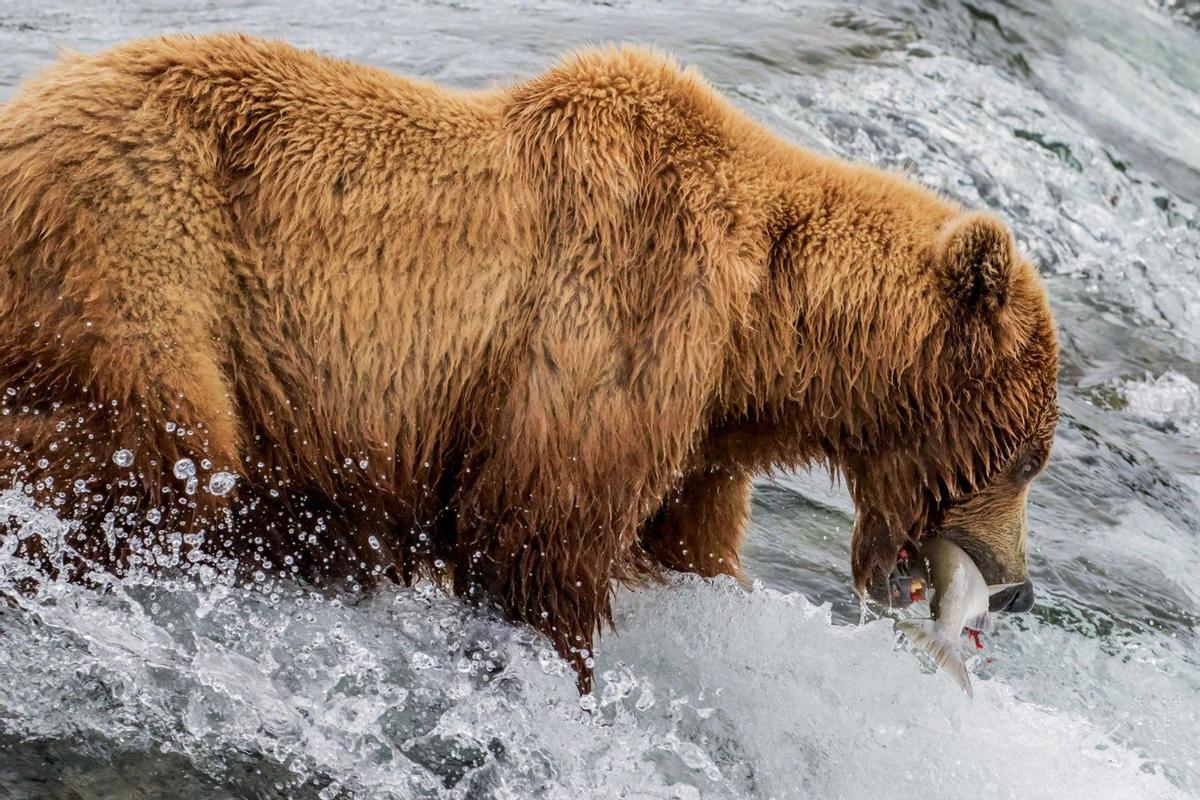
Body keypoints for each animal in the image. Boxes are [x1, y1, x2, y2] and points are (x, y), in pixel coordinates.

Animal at [0, 35, 1051, 690]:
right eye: (1028, 456)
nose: (1019, 585)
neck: (762, 335)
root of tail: (25, 112)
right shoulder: (618, 316)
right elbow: (537, 538)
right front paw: (569, 675)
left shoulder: (699, 436)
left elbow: (691, 551)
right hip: (139, 256)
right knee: (159, 453)